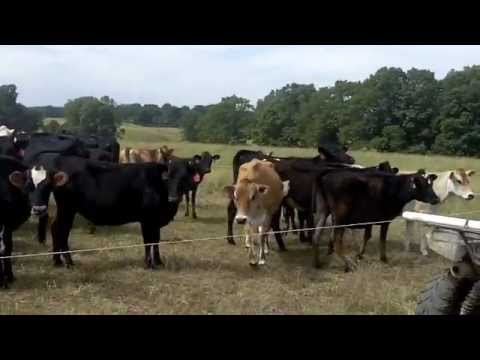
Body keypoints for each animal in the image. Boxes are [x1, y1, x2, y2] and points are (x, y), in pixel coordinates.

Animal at [27, 156, 196, 268]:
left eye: (184, 177)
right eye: (168, 177)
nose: (174, 198)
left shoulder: (155, 221)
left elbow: (156, 240)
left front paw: (159, 262)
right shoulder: (147, 219)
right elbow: (149, 241)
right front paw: (149, 264)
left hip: (68, 209)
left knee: (59, 229)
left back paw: (58, 261)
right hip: (67, 208)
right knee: (60, 229)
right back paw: (67, 262)